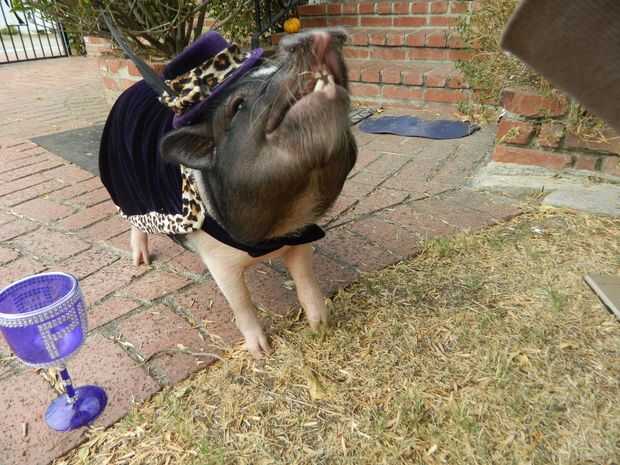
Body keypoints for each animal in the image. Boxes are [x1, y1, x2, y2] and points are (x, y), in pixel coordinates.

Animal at [99, 28, 357, 358]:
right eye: (238, 106)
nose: (319, 35)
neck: (277, 226)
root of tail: (127, 92)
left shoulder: (301, 238)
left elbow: (306, 280)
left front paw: (321, 325)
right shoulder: (218, 261)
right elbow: (241, 302)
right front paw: (262, 352)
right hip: (125, 190)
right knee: (134, 224)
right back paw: (141, 261)